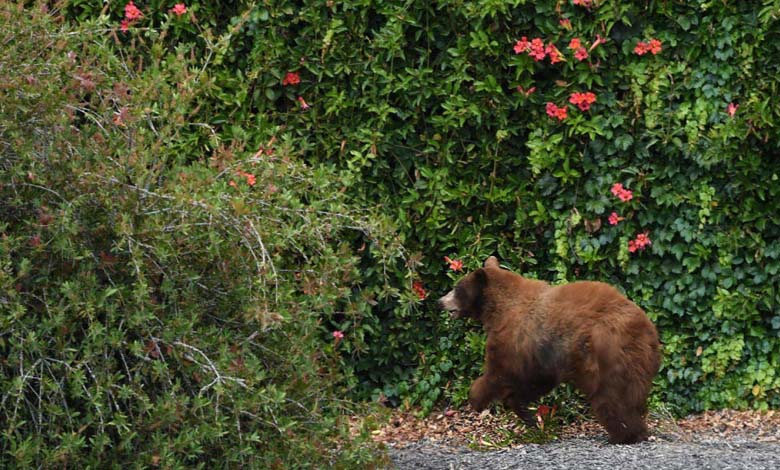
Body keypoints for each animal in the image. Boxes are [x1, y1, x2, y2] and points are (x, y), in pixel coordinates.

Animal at [436, 258, 660, 444]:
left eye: (456, 288)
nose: (440, 301)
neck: (496, 308)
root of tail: (646, 328)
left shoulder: (512, 337)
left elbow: (498, 372)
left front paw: (475, 398)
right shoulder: (539, 354)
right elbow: (535, 380)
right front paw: (528, 416)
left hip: (607, 352)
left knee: (612, 397)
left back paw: (624, 434)